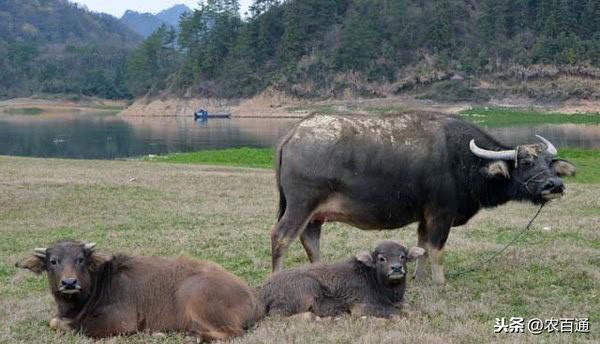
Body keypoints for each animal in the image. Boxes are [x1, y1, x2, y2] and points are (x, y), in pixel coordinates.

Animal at [15, 241, 262, 340]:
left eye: (80, 259)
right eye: (53, 261)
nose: (69, 283)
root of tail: (254, 298)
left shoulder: (120, 323)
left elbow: (65, 325)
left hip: (195, 296)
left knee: (234, 332)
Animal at [260, 241, 424, 318]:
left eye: (402, 256)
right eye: (381, 258)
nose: (396, 268)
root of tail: (265, 288)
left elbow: (407, 306)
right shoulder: (361, 306)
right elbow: (395, 312)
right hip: (307, 287)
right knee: (277, 316)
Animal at [270, 111, 576, 284]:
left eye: (549, 163)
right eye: (526, 162)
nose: (554, 185)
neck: (462, 161)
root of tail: (292, 134)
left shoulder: (424, 216)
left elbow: (422, 247)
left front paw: (419, 277)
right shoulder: (441, 213)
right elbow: (437, 249)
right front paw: (441, 284)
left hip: (314, 214)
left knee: (310, 240)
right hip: (300, 205)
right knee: (281, 237)